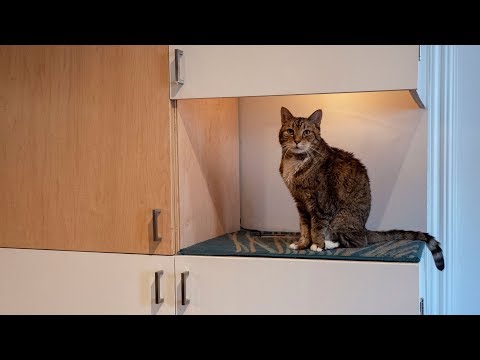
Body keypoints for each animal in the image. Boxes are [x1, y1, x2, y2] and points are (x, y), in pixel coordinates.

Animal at [280, 107, 444, 270]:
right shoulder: (301, 203)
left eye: (306, 132)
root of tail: (364, 228)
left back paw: (328, 243)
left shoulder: (322, 203)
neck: (296, 162)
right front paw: (302, 244)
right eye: (290, 131)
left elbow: (316, 227)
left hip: (341, 218)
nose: (297, 141)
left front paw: (318, 245)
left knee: (357, 242)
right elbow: (304, 227)